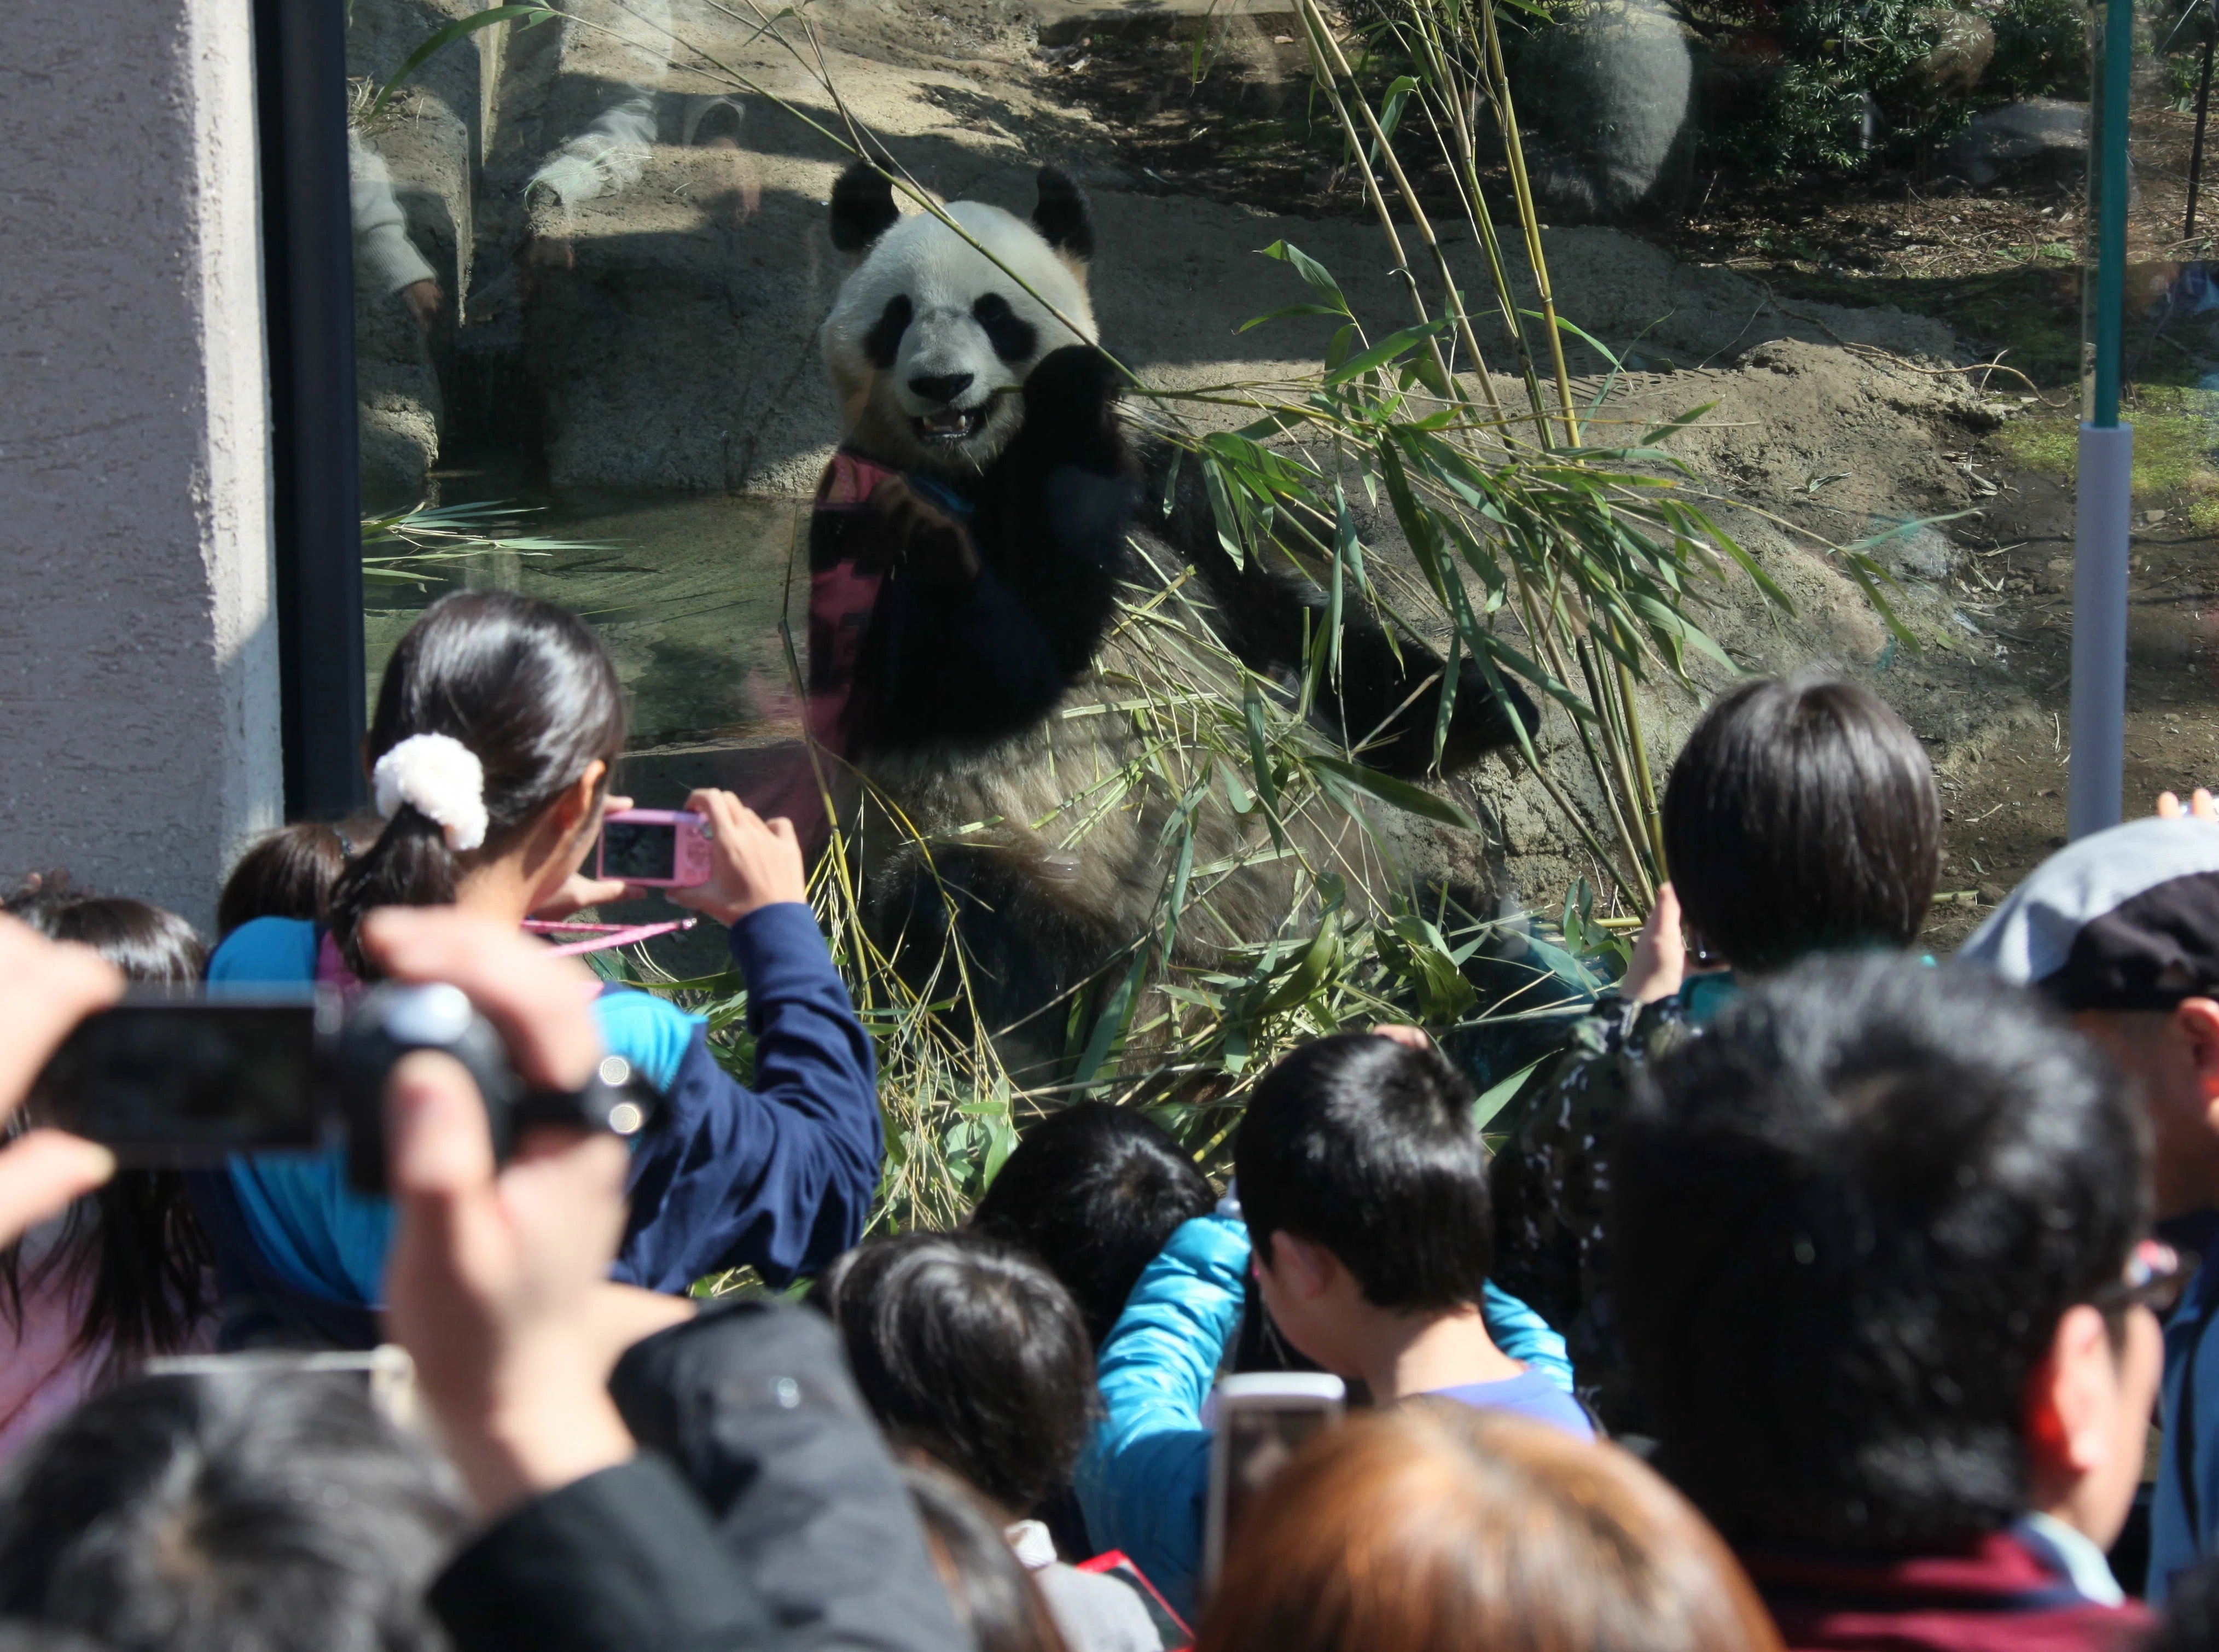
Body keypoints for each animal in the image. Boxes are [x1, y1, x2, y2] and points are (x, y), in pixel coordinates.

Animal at [810, 160, 1536, 1074]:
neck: (983, 467)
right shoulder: (875, 523)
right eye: (898, 316)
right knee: (968, 922)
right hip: (997, 853)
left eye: (995, 313)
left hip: (1382, 897)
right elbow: (972, 679)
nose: (943, 385)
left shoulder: (1171, 487)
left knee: (1465, 937)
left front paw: (1486, 702)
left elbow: (1297, 632)